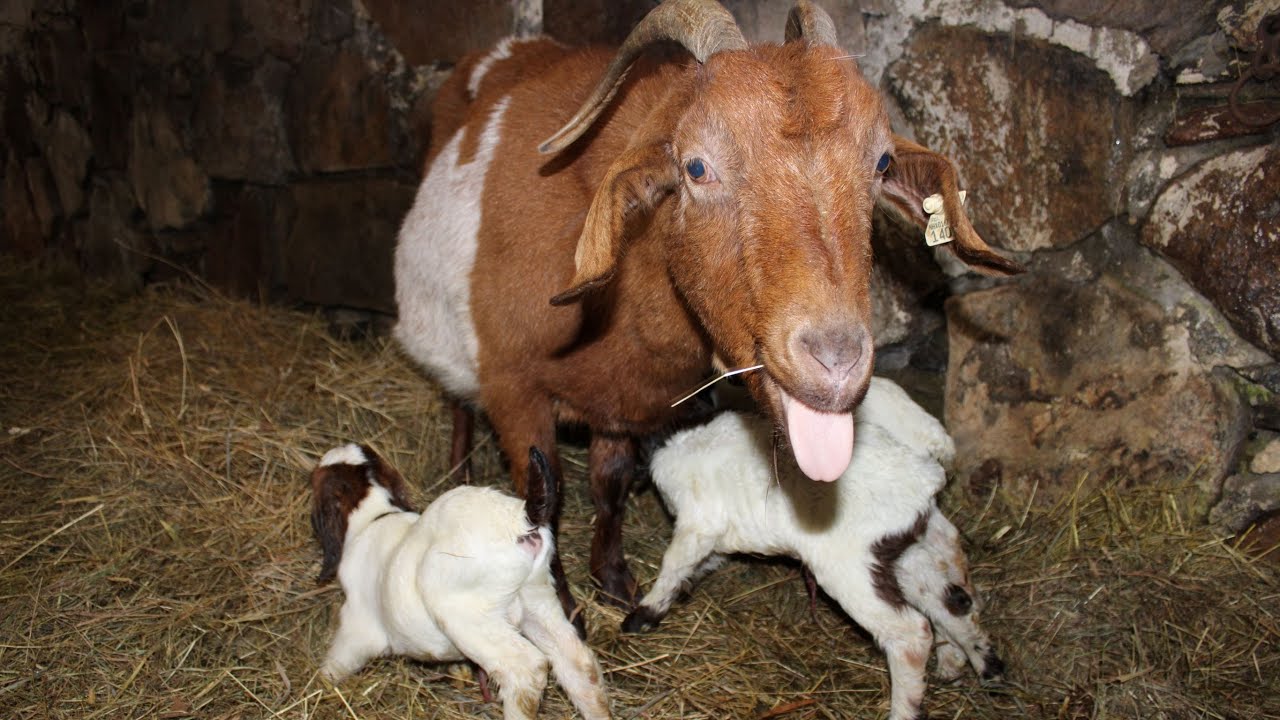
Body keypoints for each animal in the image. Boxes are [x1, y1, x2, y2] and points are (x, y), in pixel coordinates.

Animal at [309, 444, 610, 720]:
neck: (375, 516)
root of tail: (518, 518)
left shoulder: (357, 625)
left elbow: (336, 662)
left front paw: (319, 684)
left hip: (467, 614)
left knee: (526, 670)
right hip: (538, 599)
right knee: (580, 664)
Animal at [393, 0, 1023, 606]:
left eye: (882, 163)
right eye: (696, 166)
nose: (836, 361)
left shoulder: (623, 401)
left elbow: (610, 483)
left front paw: (614, 580)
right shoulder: (514, 388)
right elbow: (542, 496)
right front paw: (564, 604)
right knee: (457, 399)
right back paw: (457, 467)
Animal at [623, 377, 1004, 720]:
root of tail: (925, 471)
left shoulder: (697, 522)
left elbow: (674, 563)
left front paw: (642, 615)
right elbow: (702, 562)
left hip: (851, 564)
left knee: (911, 633)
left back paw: (908, 705)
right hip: (898, 548)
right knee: (951, 595)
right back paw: (984, 664)